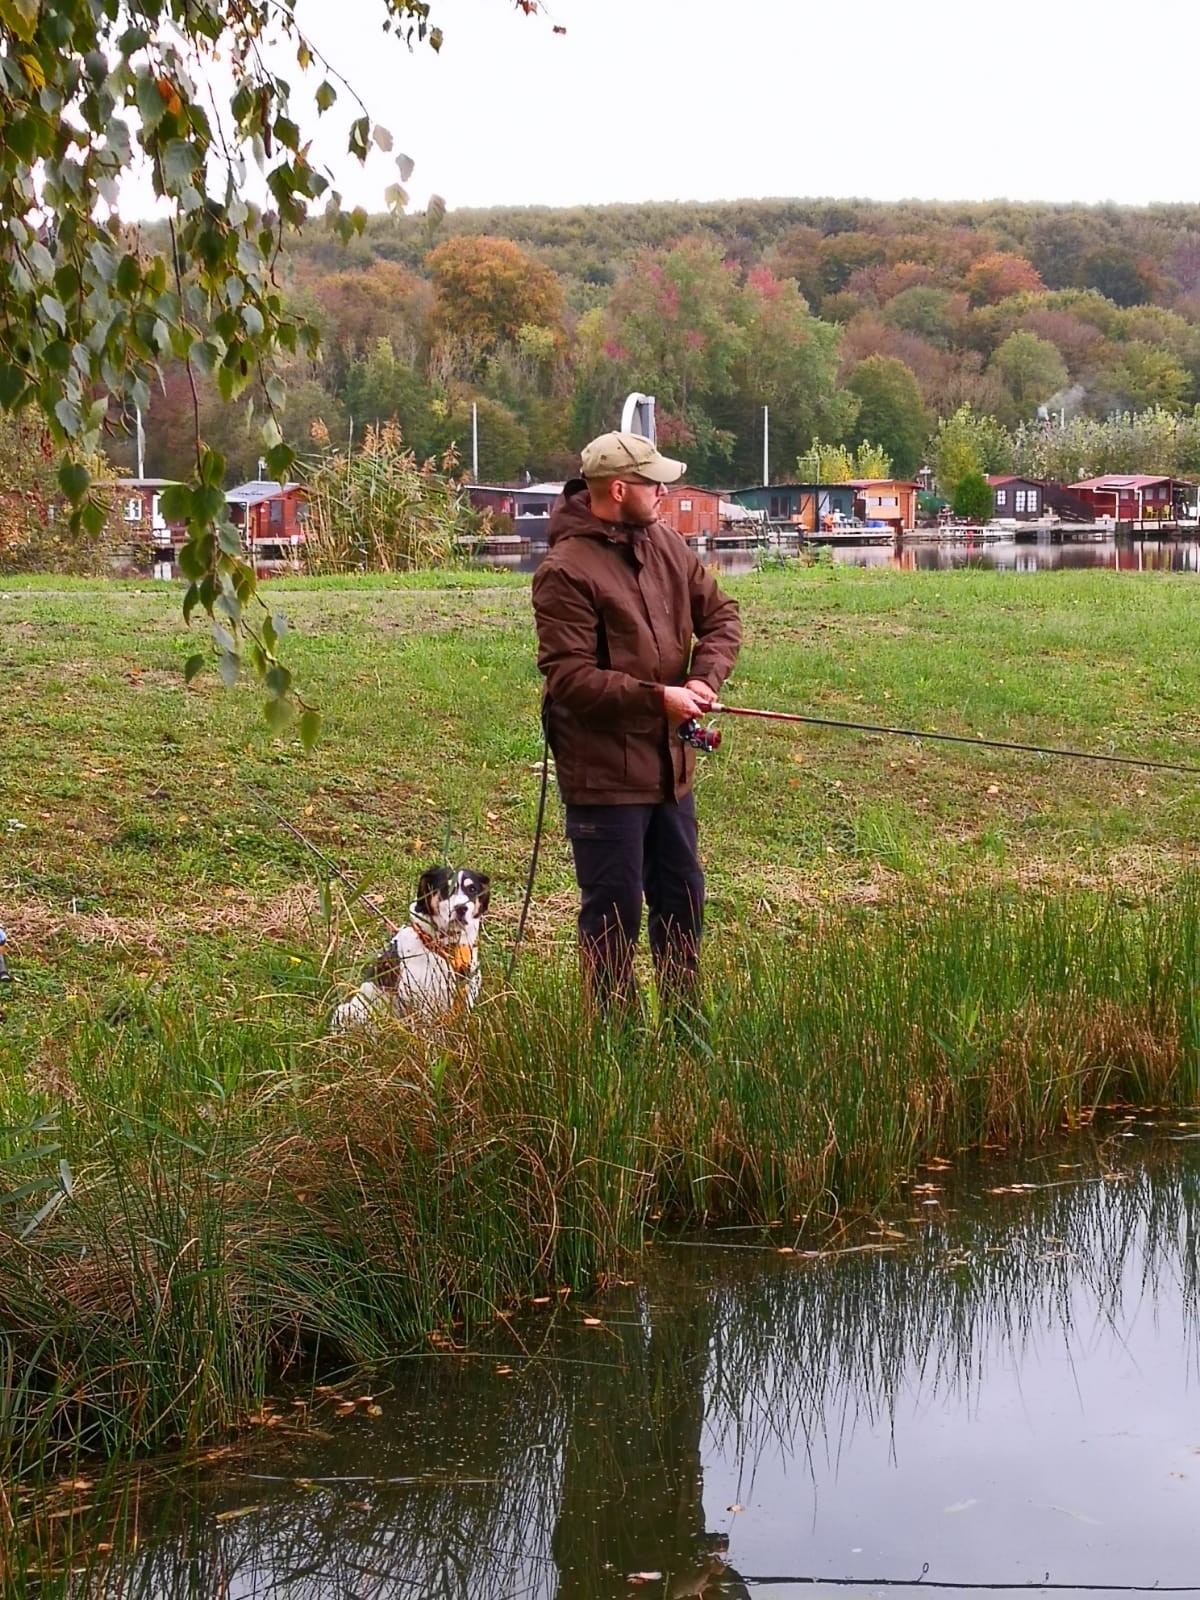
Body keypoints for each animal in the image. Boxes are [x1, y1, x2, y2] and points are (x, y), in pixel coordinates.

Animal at [331, 864, 489, 1036]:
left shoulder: (467, 991)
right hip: (348, 1012)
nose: (461, 908)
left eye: (472, 889)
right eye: (445, 888)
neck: (445, 948)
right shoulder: (420, 997)